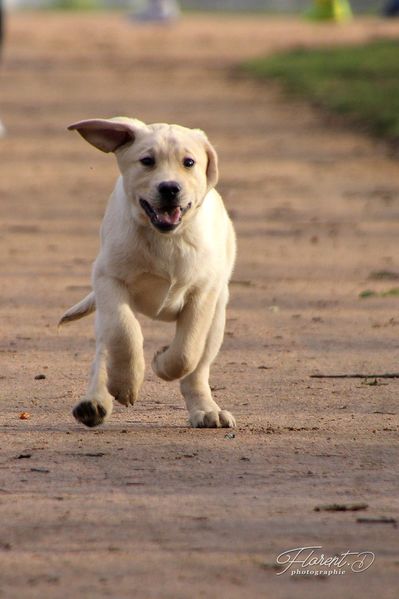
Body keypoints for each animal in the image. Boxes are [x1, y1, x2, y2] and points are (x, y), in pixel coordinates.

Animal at [60, 116, 236, 426]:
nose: (169, 188)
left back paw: (207, 410)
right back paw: (95, 402)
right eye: (147, 161)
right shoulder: (108, 279)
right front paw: (125, 384)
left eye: (189, 162)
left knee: (198, 369)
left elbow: (187, 351)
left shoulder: (203, 292)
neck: (165, 238)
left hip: (218, 316)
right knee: (104, 351)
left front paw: (161, 363)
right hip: (103, 312)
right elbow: (125, 332)